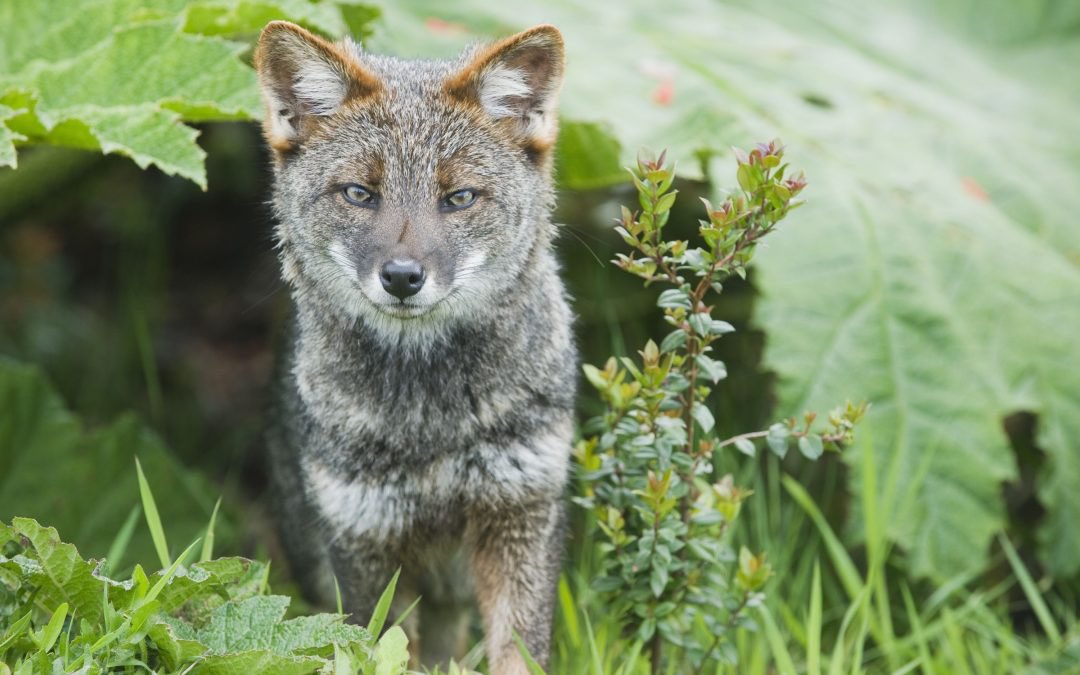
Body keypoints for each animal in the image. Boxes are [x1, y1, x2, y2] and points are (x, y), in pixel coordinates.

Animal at [255, 20, 576, 674]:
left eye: (459, 198)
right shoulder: (366, 540)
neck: (433, 422)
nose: (402, 277)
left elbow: (518, 651)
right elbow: (381, 651)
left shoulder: (522, 513)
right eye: (359, 194)